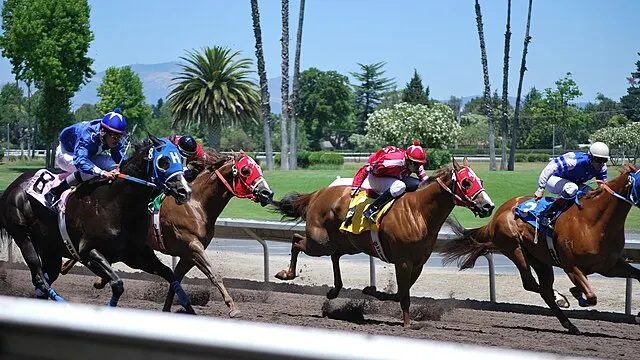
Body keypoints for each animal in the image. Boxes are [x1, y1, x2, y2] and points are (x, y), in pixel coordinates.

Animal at [0, 134, 195, 310]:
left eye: (181, 159)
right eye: (164, 161)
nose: (184, 191)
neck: (117, 204)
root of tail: (13, 186)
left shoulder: (137, 255)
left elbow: (170, 274)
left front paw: (189, 310)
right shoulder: (88, 253)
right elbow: (117, 284)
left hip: (49, 248)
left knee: (44, 279)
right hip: (23, 236)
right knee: (39, 278)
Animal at [63, 150, 274, 316]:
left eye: (260, 168)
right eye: (246, 170)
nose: (268, 193)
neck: (196, 204)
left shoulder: (188, 255)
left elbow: (176, 279)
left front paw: (168, 309)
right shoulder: (193, 247)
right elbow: (214, 274)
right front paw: (233, 308)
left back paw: (92, 277)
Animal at [270, 157, 496, 326]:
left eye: (481, 181)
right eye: (466, 182)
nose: (488, 206)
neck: (419, 212)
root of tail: (318, 193)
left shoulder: (418, 263)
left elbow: (399, 294)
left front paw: (371, 290)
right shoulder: (403, 261)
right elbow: (403, 295)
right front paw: (407, 325)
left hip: (346, 243)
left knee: (334, 255)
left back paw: (334, 290)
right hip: (320, 242)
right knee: (297, 240)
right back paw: (286, 274)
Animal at [442, 162, 640, 334]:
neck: (593, 221)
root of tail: (496, 216)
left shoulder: (609, 265)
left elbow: (637, 275)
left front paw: (637, 315)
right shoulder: (572, 267)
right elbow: (591, 296)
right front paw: (576, 294)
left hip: (540, 260)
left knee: (544, 287)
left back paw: (566, 316)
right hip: (515, 249)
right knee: (533, 285)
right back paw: (561, 302)